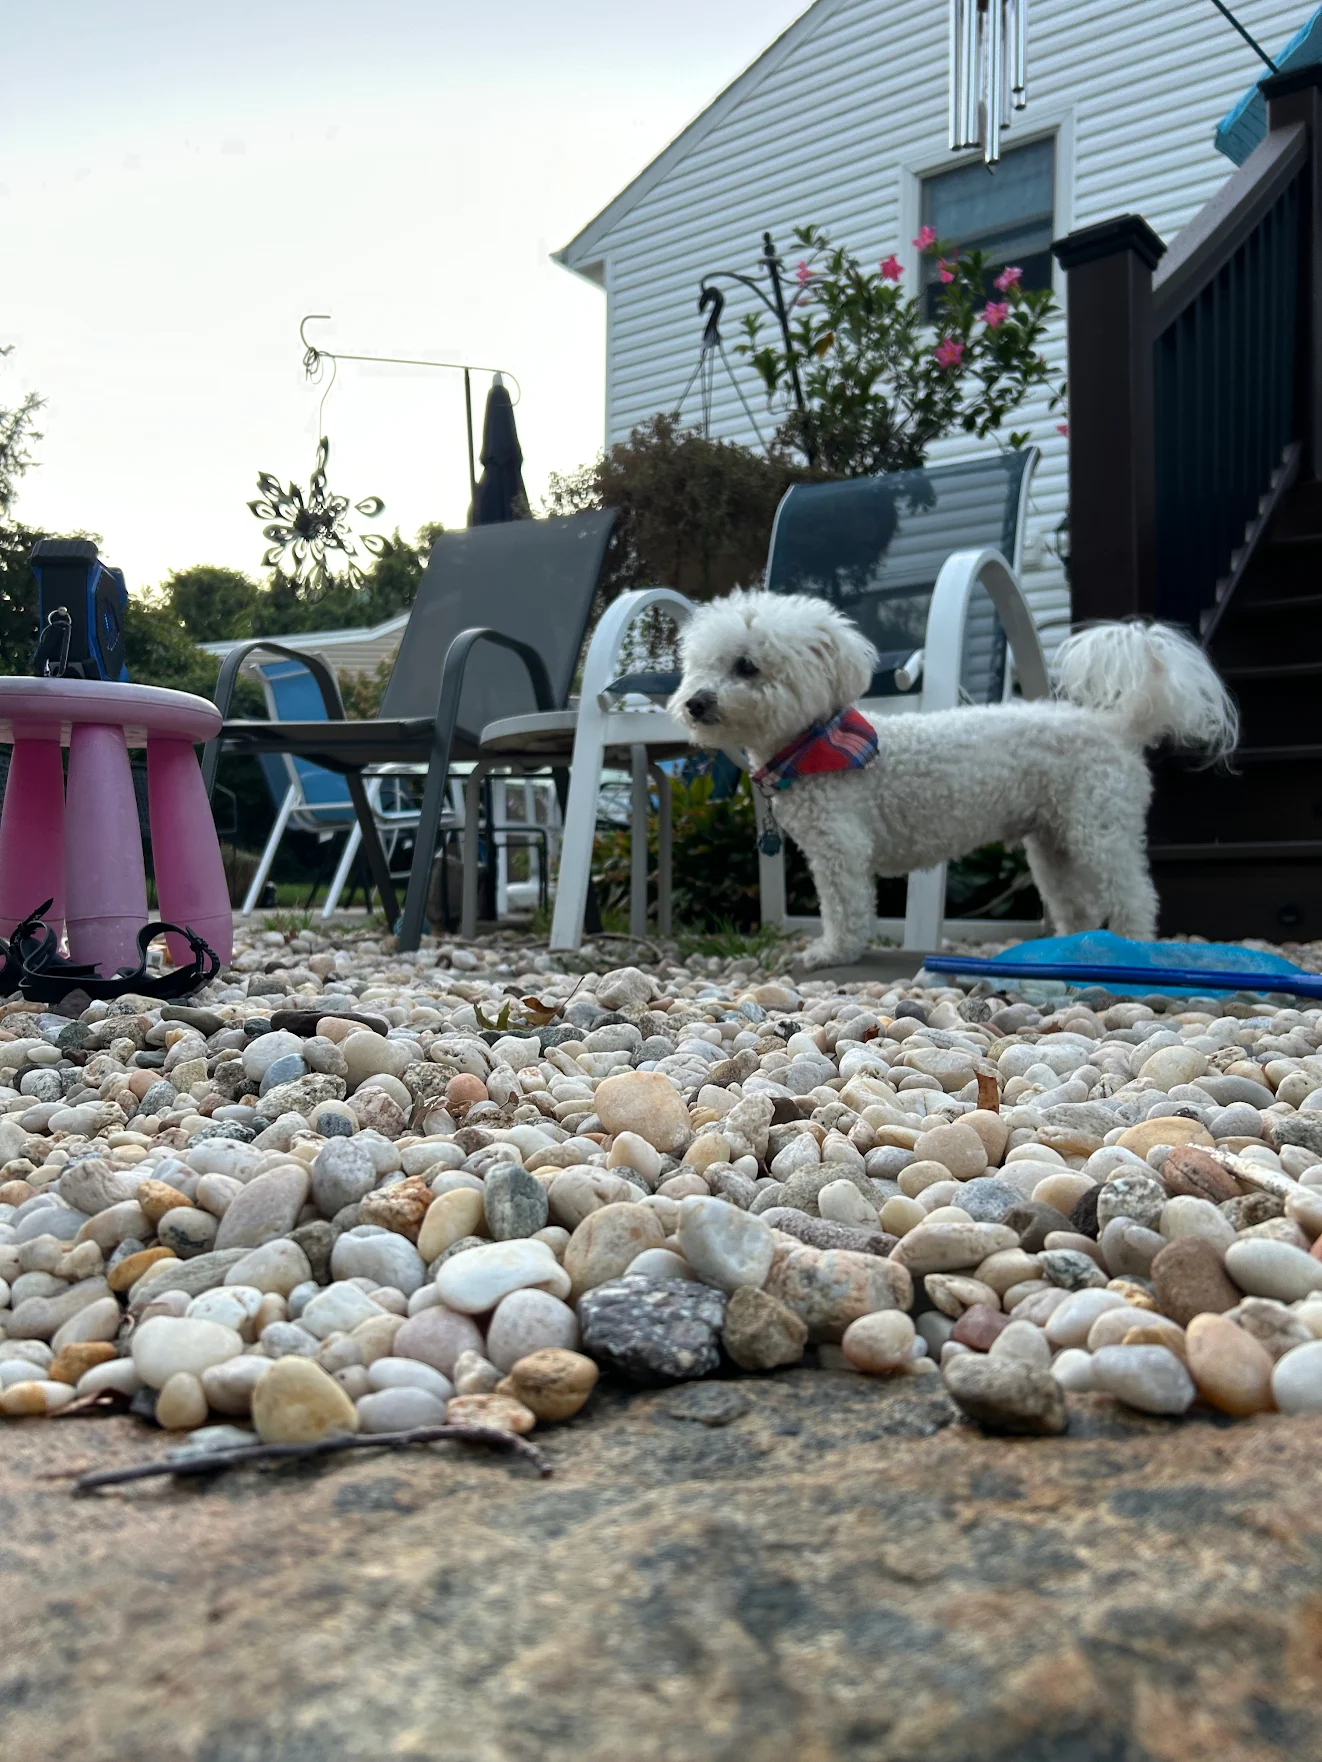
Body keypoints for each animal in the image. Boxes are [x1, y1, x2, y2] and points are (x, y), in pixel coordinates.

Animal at [670, 589, 1237, 968]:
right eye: (699, 665)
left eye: (746, 666)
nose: (695, 703)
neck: (812, 744)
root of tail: (1118, 725)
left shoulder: (839, 847)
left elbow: (844, 906)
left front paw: (833, 952)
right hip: (1053, 843)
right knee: (1074, 905)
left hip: (1098, 830)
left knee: (1134, 896)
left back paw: (1132, 949)